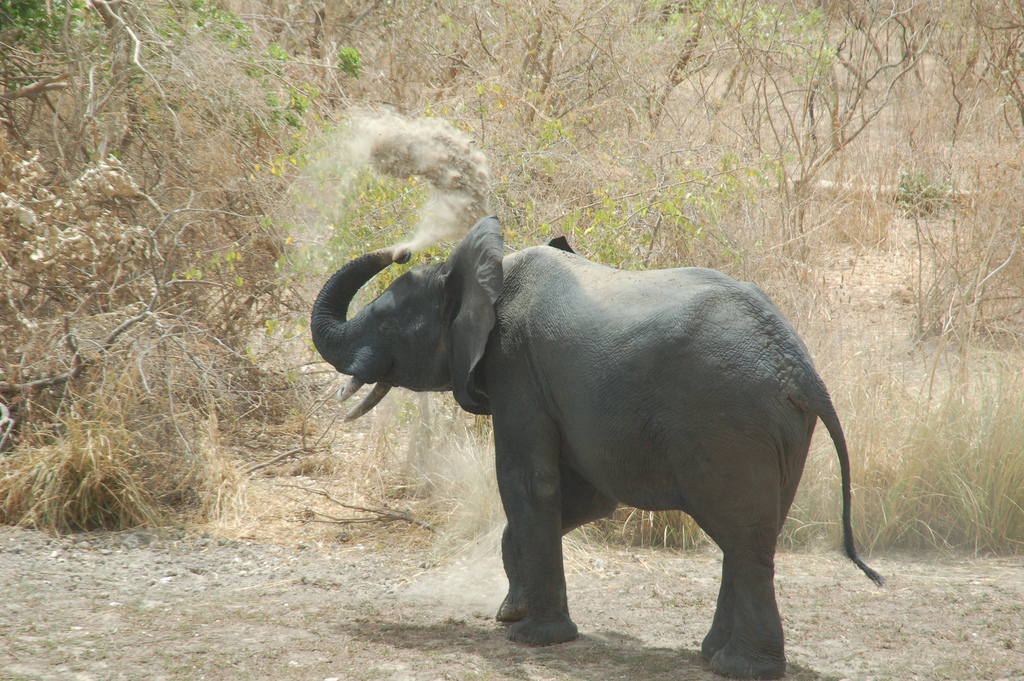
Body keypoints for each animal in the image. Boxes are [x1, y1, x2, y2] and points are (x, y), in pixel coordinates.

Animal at [311, 216, 883, 680]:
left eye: (386, 324)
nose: (401, 251)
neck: (491, 270)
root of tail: (800, 368)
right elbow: (587, 498)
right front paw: (510, 612)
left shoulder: (516, 366)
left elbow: (528, 483)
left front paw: (530, 638)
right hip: (781, 431)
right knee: (751, 535)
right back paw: (711, 654)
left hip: (732, 422)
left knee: (744, 539)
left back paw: (738, 668)